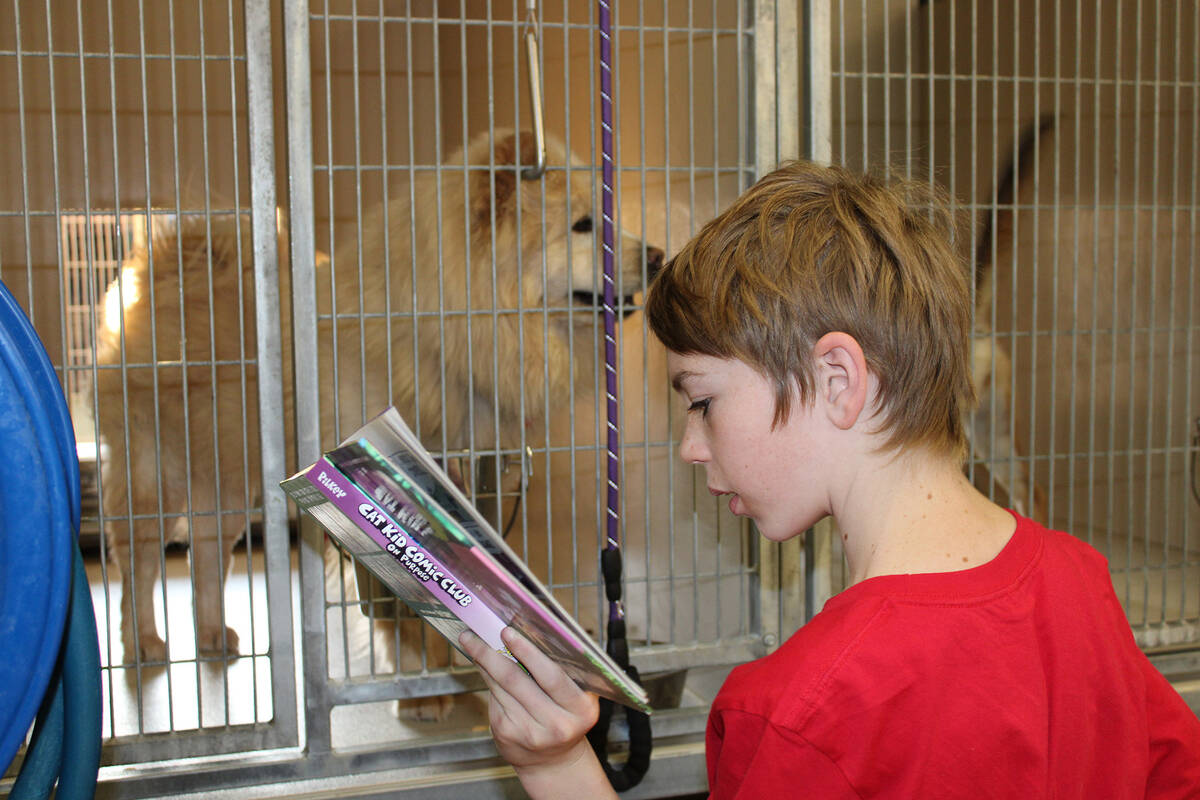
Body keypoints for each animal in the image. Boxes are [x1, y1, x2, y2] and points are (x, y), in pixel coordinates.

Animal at [93, 130, 667, 724]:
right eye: (582, 226)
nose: (656, 256)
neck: (442, 334)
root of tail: (172, 260)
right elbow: (405, 606)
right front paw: (424, 687)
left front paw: (458, 662)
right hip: (155, 467)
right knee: (136, 559)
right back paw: (142, 643)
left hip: (227, 475)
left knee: (207, 551)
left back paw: (211, 636)